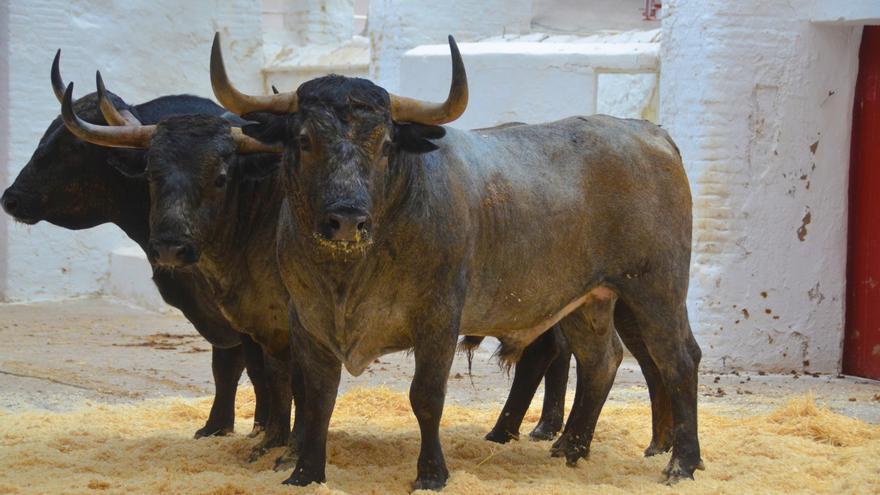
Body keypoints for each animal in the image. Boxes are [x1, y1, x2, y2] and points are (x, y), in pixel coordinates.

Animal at [211, 33, 700, 490]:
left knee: (679, 361)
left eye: (386, 144)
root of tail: (650, 134)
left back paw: (683, 463)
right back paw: (571, 449)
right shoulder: (308, 319)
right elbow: (316, 398)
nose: (347, 219)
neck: (350, 272)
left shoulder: (438, 319)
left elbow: (426, 397)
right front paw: (306, 473)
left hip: (656, 290)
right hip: (587, 300)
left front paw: (431, 473)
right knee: (601, 361)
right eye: (305, 139)